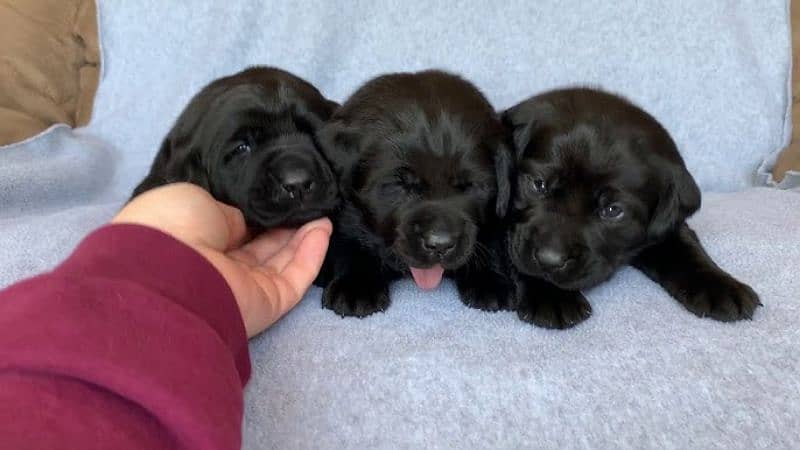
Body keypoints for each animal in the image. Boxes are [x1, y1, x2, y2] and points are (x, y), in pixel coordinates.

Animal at [310, 69, 512, 316]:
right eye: (400, 185)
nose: (440, 244)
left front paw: (490, 280)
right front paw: (355, 285)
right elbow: (348, 242)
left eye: (470, 186)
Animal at [504, 87, 760, 326]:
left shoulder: (665, 228)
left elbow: (686, 249)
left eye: (612, 210)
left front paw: (722, 286)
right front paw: (552, 295)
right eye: (538, 184)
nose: (549, 260)